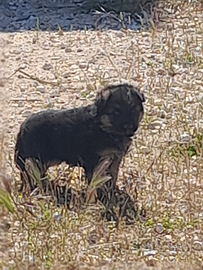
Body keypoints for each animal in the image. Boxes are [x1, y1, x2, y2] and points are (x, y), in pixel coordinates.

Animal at [14, 83, 144, 210]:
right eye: (116, 112)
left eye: (134, 110)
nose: (129, 127)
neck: (103, 126)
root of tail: (21, 129)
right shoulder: (93, 161)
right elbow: (94, 182)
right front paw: (96, 199)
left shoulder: (114, 158)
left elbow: (113, 176)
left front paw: (111, 192)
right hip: (33, 160)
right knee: (29, 176)